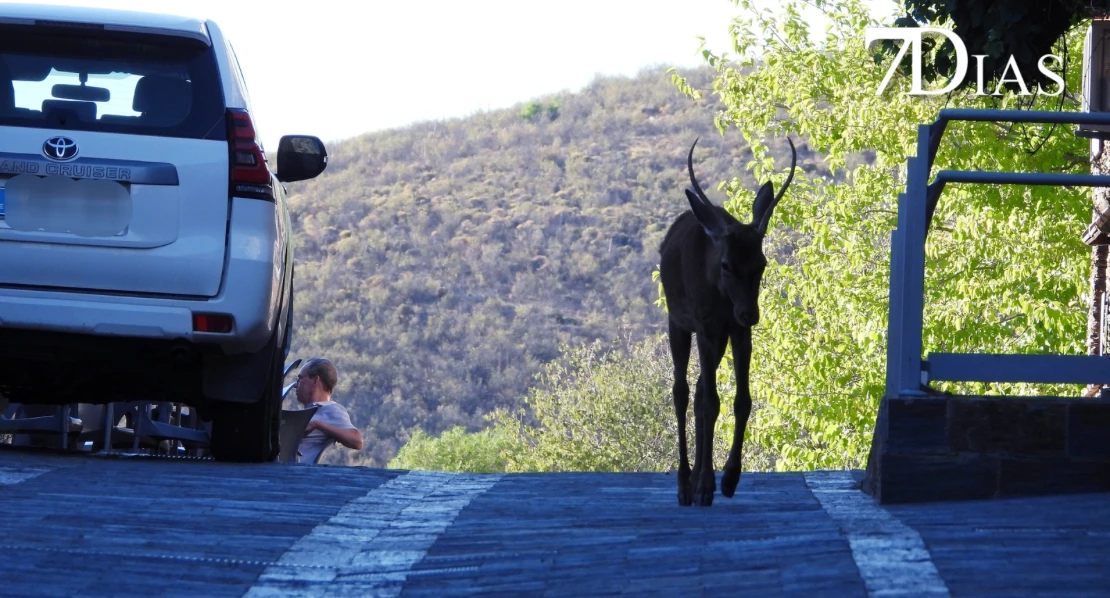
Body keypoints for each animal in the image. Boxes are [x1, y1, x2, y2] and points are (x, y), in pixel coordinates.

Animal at [658, 136, 796, 507]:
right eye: (726, 264)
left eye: (761, 263)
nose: (751, 312)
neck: (721, 299)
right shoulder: (706, 327)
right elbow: (709, 402)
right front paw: (706, 484)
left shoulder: (735, 331)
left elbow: (740, 400)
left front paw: (730, 477)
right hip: (677, 322)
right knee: (681, 390)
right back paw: (684, 483)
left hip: (718, 337)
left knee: (699, 389)